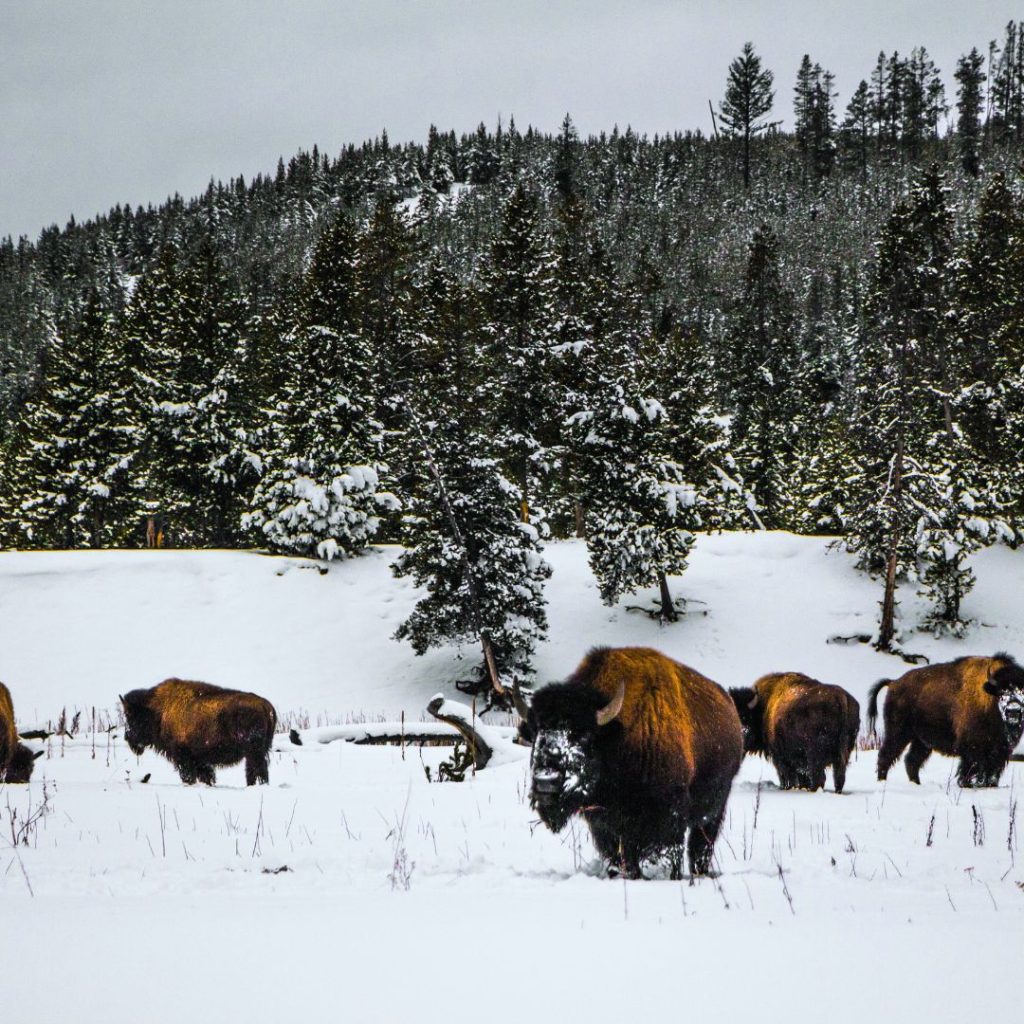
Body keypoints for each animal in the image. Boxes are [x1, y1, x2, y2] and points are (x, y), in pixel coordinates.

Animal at [120, 679, 278, 782]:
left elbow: (189, 776)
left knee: (257, 769)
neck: (158, 710)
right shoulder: (200, 760)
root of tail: (266, 706)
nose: (127, 737)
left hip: (254, 752)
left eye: (130, 716)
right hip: (257, 752)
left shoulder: (183, 756)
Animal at [524, 647, 741, 880]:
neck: (619, 737)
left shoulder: (668, 817)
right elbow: (622, 856)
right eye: (538, 732)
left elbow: (669, 851)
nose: (545, 781)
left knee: (701, 845)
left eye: (583, 735)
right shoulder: (605, 825)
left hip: (713, 811)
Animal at [729, 675, 864, 794]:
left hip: (815, 755)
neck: (763, 707)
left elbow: (786, 776)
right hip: (843, 754)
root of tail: (841, 697)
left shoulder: (780, 757)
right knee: (839, 777)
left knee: (819, 777)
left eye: (744, 717)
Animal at [868, 651, 1024, 786]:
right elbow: (971, 768)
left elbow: (991, 773)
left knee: (911, 761)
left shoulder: (1000, 750)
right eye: (1002, 692)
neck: (990, 699)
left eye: (1022, 691)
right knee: (886, 756)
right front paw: (967, 785)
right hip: (899, 733)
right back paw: (883, 782)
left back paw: (916, 784)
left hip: (922, 741)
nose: (1014, 711)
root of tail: (893, 683)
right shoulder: (972, 748)